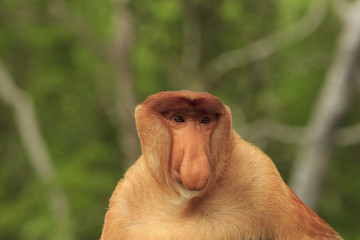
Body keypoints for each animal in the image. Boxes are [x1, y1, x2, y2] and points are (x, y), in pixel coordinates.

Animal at [100, 90, 344, 240]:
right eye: (179, 119)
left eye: (205, 120)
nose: (196, 157)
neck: (182, 204)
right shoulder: (122, 208)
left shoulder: (261, 178)